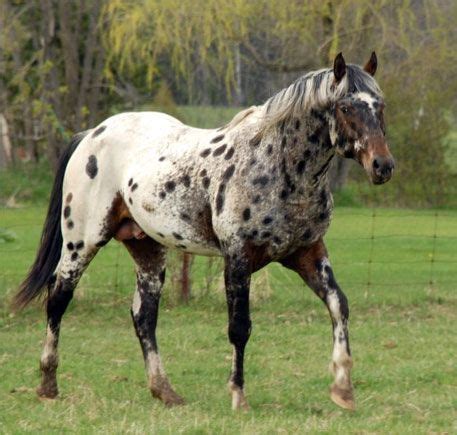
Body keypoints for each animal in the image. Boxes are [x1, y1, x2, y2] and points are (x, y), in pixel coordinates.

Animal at [14, 52, 392, 412]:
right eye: (345, 107)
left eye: (380, 106)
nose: (383, 166)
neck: (278, 167)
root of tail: (91, 134)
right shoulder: (237, 258)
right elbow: (239, 328)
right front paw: (238, 396)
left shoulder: (308, 253)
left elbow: (338, 306)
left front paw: (343, 390)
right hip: (81, 242)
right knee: (58, 298)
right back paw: (48, 385)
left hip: (147, 251)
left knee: (143, 316)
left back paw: (164, 391)